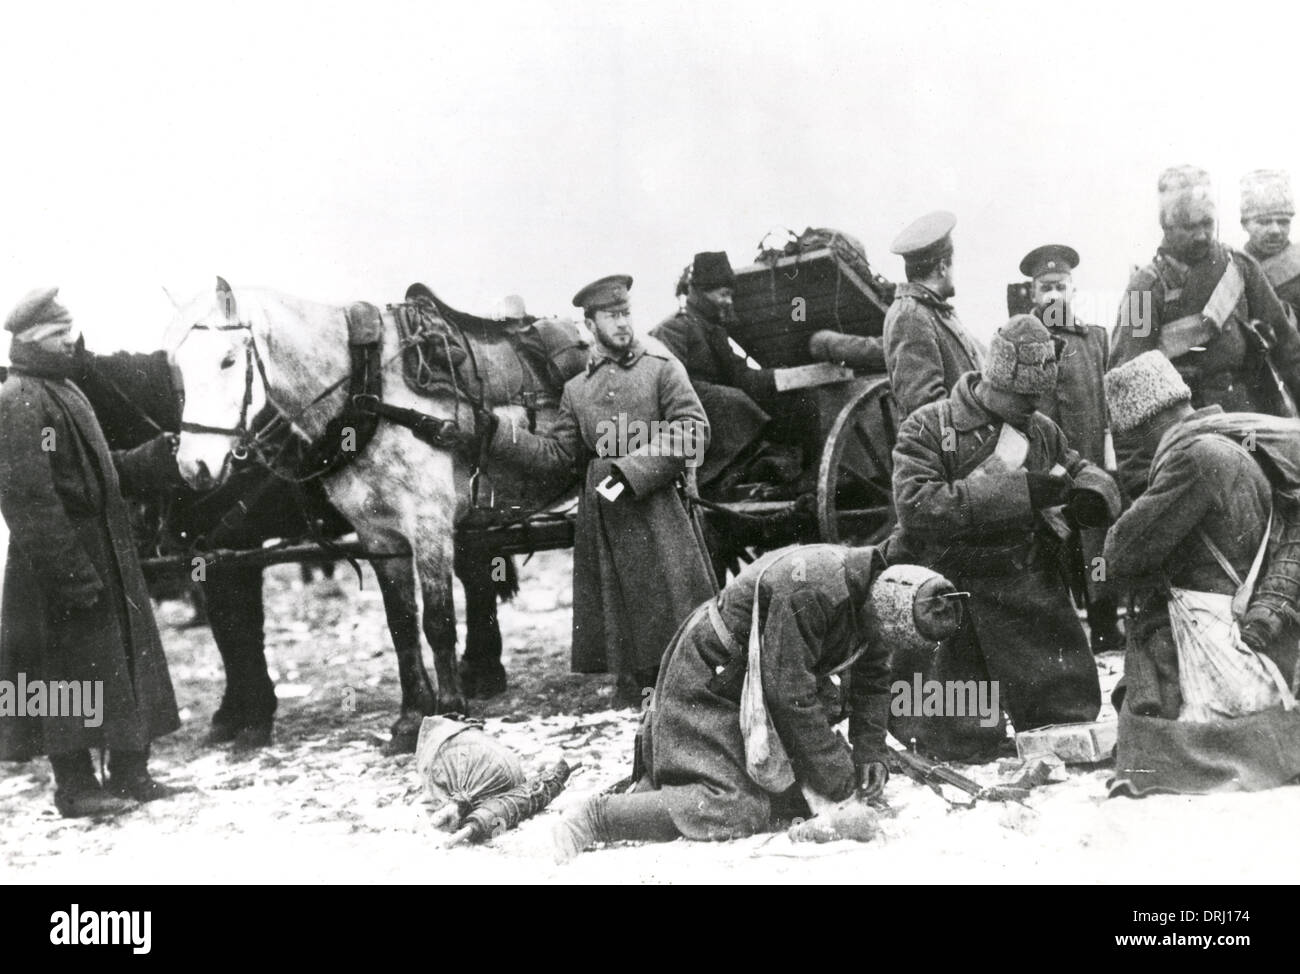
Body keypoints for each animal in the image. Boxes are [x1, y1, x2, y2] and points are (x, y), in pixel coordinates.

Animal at [169, 276, 548, 749]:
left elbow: (437, 621)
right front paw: (410, 719)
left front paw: (450, 711)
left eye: (228, 360)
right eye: (178, 369)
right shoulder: (378, 535)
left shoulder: (428, 525)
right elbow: (401, 624)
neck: (370, 391)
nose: (193, 466)